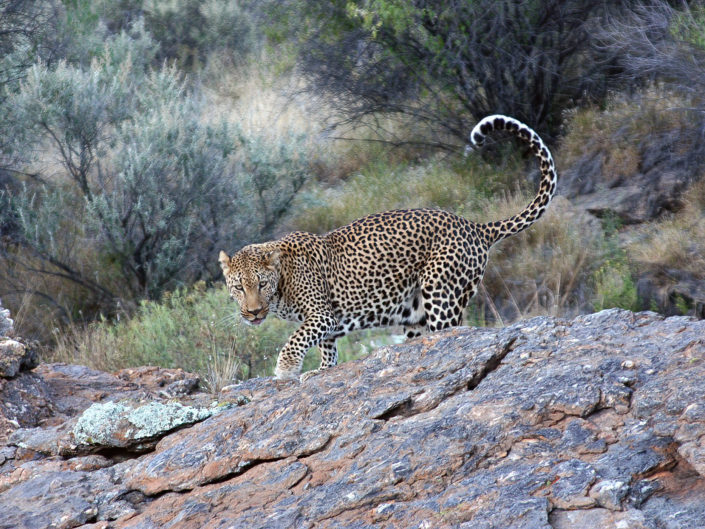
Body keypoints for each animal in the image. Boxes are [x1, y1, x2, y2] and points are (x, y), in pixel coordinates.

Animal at [219, 115, 557, 381]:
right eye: (238, 288)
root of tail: (474, 226)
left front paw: (286, 368)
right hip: (415, 316)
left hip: (441, 293)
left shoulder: (321, 315)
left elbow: (296, 338)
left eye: (261, 284)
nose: (253, 312)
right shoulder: (327, 323)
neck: (282, 283)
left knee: (452, 332)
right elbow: (326, 347)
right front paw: (323, 370)